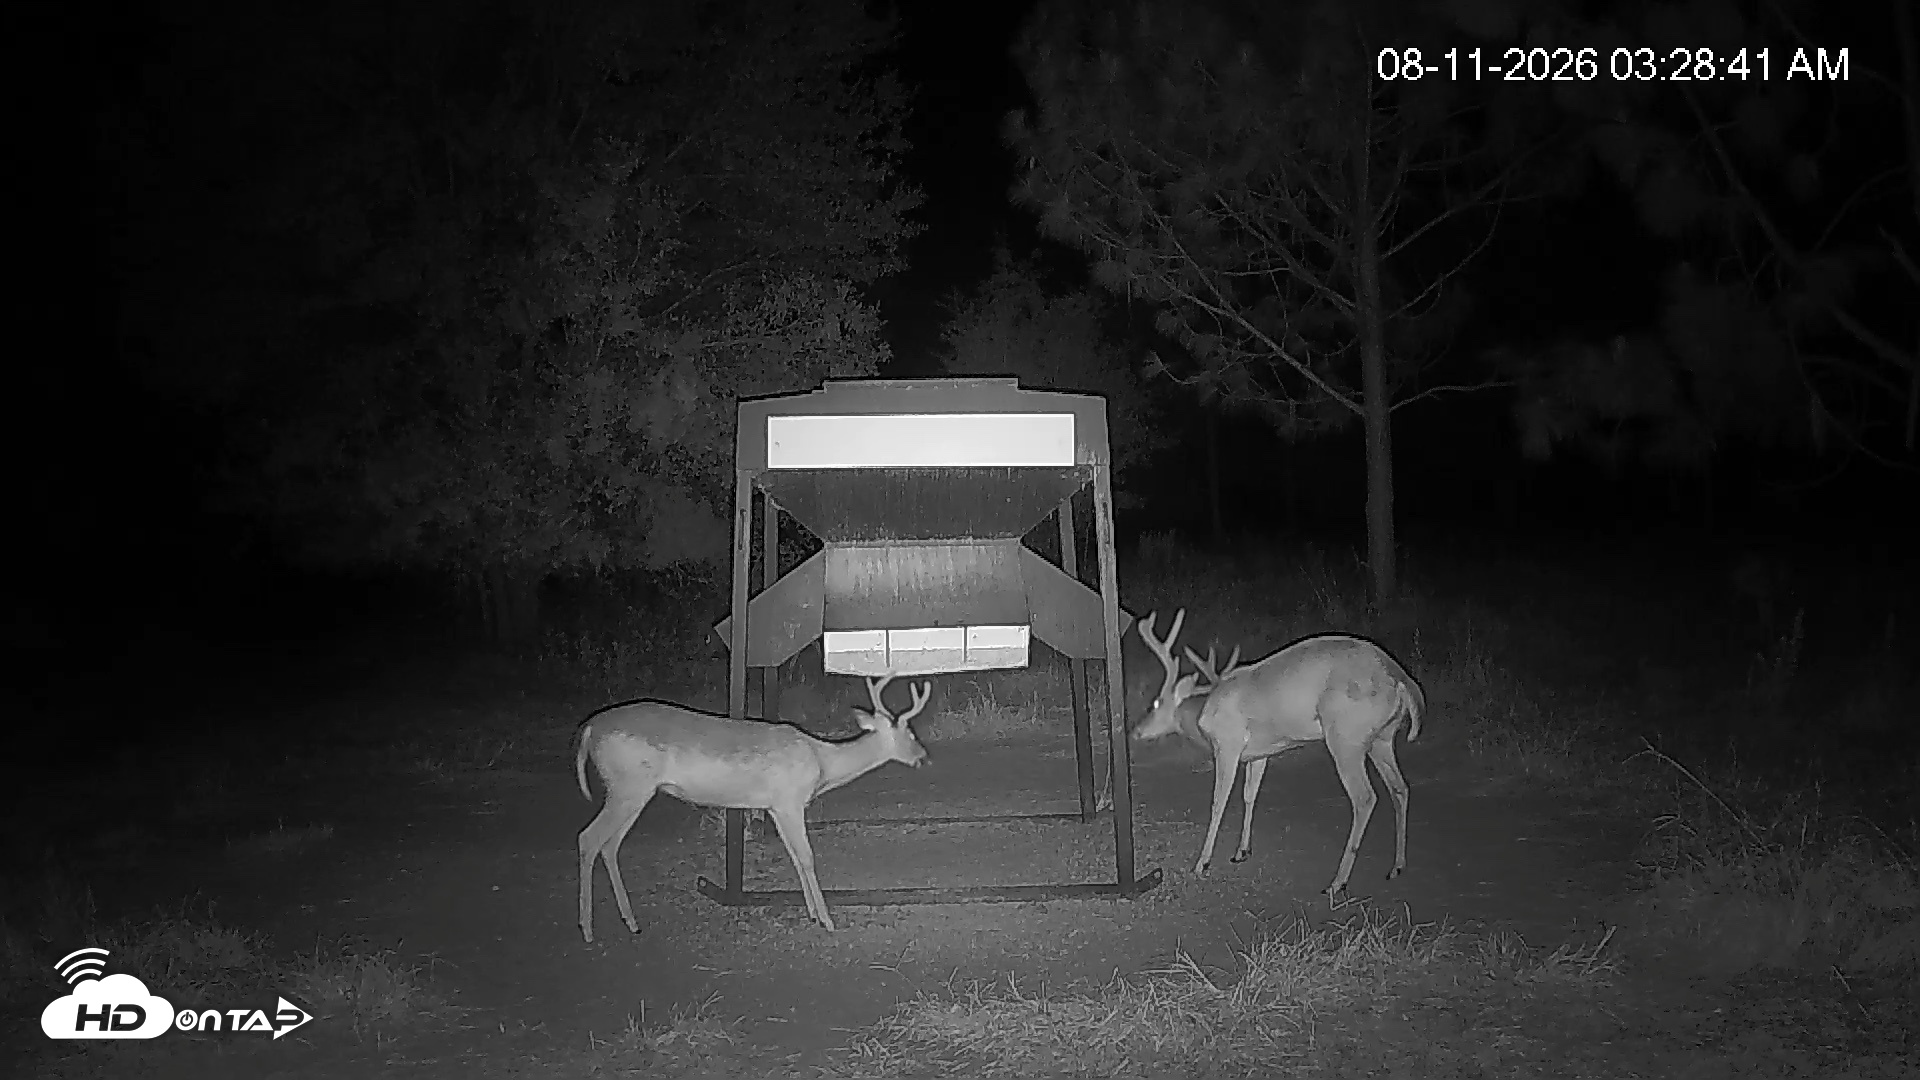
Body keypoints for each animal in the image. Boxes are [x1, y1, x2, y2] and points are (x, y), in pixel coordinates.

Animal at [574, 674, 931, 942]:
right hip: (628, 786)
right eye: (911, 732)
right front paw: (828, 920)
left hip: (631, 791)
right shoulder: (790, 801)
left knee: (609, 845)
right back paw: (588, 929)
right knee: (588, 838)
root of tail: (589, 729)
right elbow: (807, 857)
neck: (822, 762)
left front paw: (813, 914)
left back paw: (631, 921)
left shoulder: (775, 806)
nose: (923, 757)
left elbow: (794, 857)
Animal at [1132, 608, 1425, 905]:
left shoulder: (1228, 744)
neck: (1203, 713)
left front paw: (1202, 863)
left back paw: (1336, 883)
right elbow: (1249, 795)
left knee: (1365, 798)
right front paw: (1241, 851)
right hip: (1381, 738)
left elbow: (1218, 802)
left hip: (1346, 737)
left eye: (1155, 703)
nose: (1136, 731)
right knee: (1400, 788)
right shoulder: (1259, 753)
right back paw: (1397, 866)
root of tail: (1402, 680)